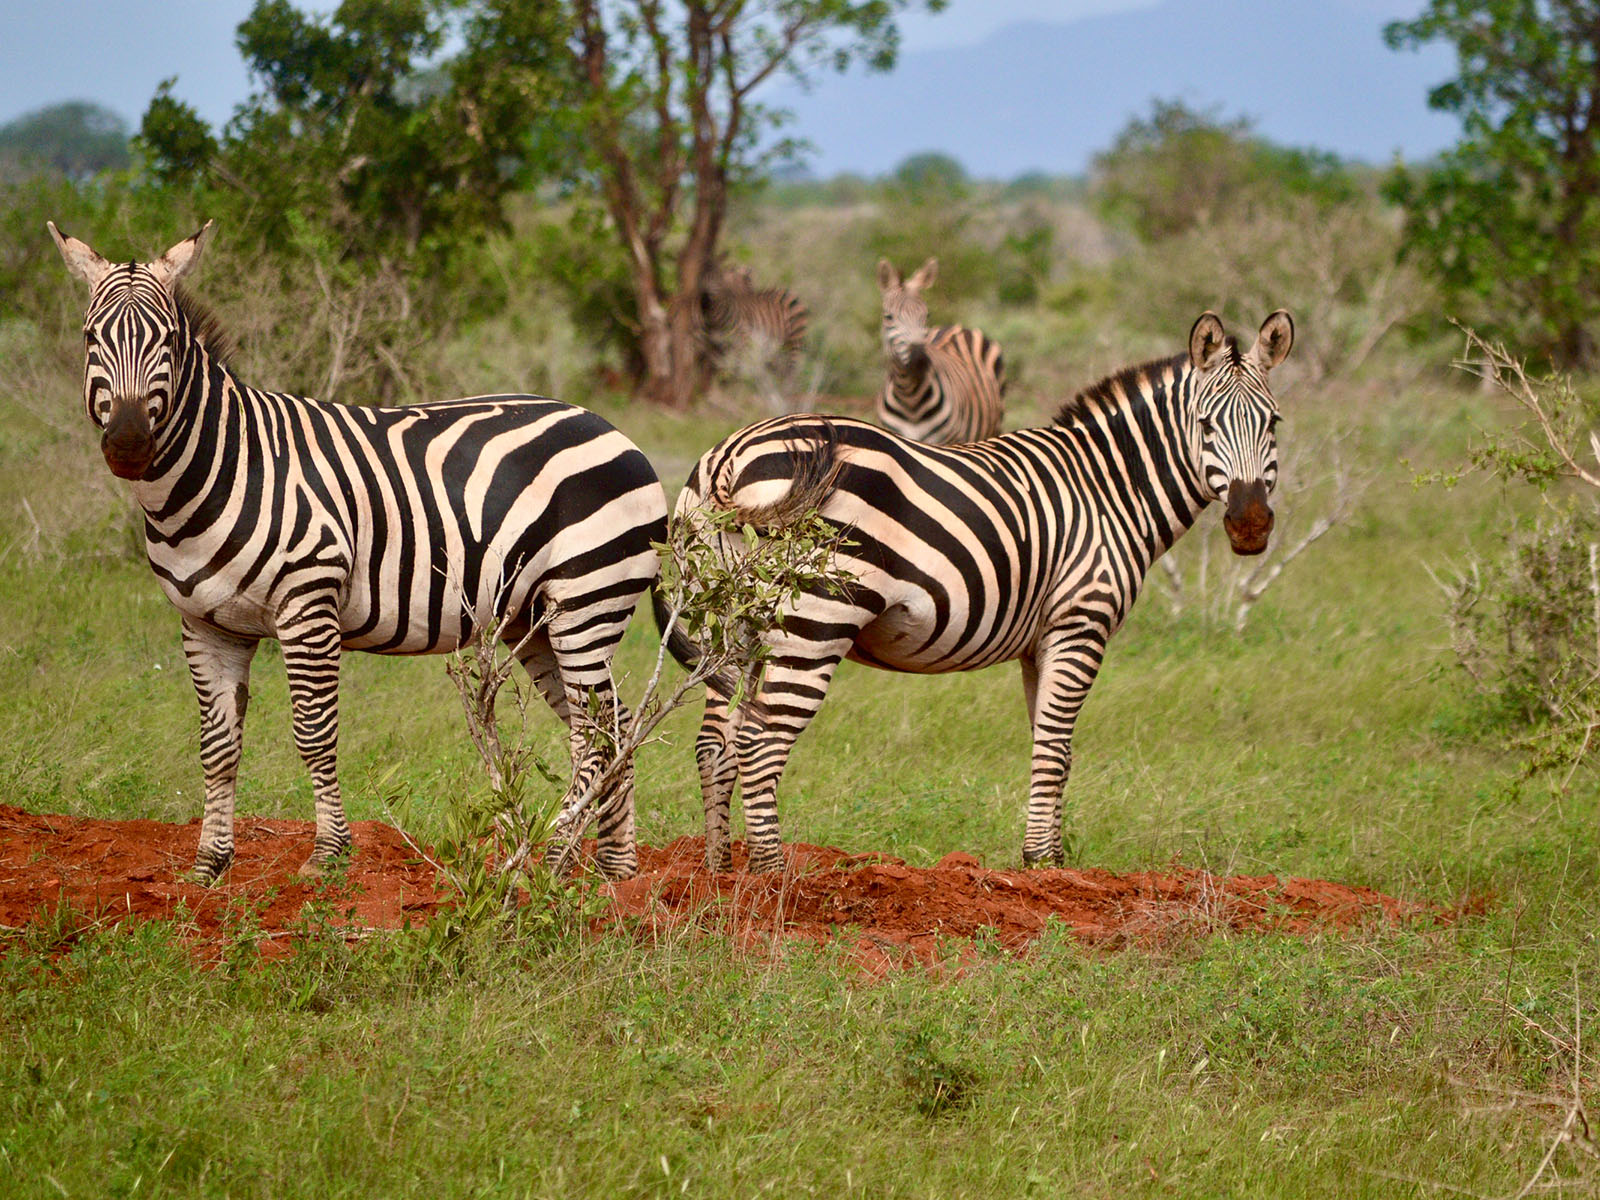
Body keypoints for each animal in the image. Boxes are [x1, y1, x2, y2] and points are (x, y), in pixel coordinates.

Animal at [46, 224, 665, 883]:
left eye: (166, 341)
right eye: (90, 339)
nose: (129, 445)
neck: (223, 469)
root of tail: (612, 429)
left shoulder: (308, 604)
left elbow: (314, 734)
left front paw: (328, 854)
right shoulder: (207, 625)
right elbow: (217, 747)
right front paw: (209, 866)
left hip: (588, 597)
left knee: (597, 733)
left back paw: (549, 858)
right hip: (535, 618)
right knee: (611, 726)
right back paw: (612, 870)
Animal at [662, 310, 1299, 876]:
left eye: (1274, 424)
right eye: (1206, 426)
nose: (1249, 525)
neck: (1108, 490)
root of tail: (730, 455)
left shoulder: (1041, 641)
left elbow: (1054, 747)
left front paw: (1052, 861)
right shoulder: (1081, 622)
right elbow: (1053, 749)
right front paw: (1043, 865)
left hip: (734, 624)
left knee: (715, 744)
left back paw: (720, 872)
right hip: (816, 620)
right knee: (759, 743)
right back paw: (773, 880)